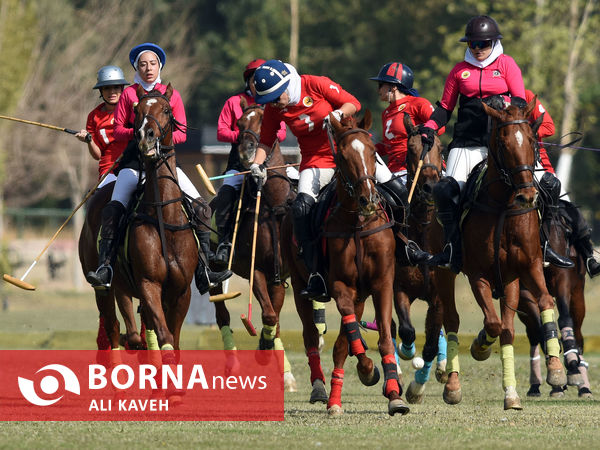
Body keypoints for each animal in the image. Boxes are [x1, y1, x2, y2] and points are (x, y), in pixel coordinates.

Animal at [79, 84, 196, 358]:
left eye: (167, 110)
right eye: (137, 112)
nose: (146, 137)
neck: (164, 216)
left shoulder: (181, 292)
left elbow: (173, 342)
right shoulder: (148, 284)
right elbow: (163, 338)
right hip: (105, 287)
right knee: (112, 328)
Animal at [210, 98, 298, 390]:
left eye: (264, 120)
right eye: (239, 124)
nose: (246, 151)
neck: (273, 205)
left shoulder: (279, 275)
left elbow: (275, 317)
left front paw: (282, 368)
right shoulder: (256, 270)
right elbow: (269, 316)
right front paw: (263, 350)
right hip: (212, 272)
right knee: (222, 314)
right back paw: (232, 362)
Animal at [460, 100, 568, 410]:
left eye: (531, 140)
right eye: (504, 143)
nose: (528, 196)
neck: (501, 207)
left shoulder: (524, 268)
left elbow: (543, 303)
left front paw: (555, 371)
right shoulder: (478, 274)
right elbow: (493, 324)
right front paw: (480, 346)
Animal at [516, 200, 592, 398]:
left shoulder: (562, 280)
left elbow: (564, 319)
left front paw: (572, 368)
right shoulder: (524, 293)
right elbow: (542, 331)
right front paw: (557, 374)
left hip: (578, 296)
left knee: (578, 335)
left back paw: (583, 385)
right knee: (534, 335)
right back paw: (538, 385)